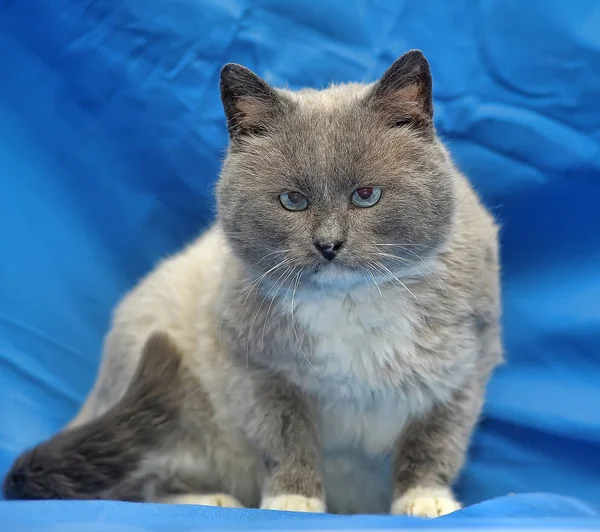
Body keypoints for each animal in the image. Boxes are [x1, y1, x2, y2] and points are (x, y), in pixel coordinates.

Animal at [4, 50, 502, 516]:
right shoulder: (262, 373)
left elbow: (432, 445)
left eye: (366, 196)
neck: (351, 302)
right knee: (140, 489)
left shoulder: (460, 376)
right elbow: (288, 440)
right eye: (292, 201)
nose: (329, 245)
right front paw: (294, 502)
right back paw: (213, 501)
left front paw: (425, 500)